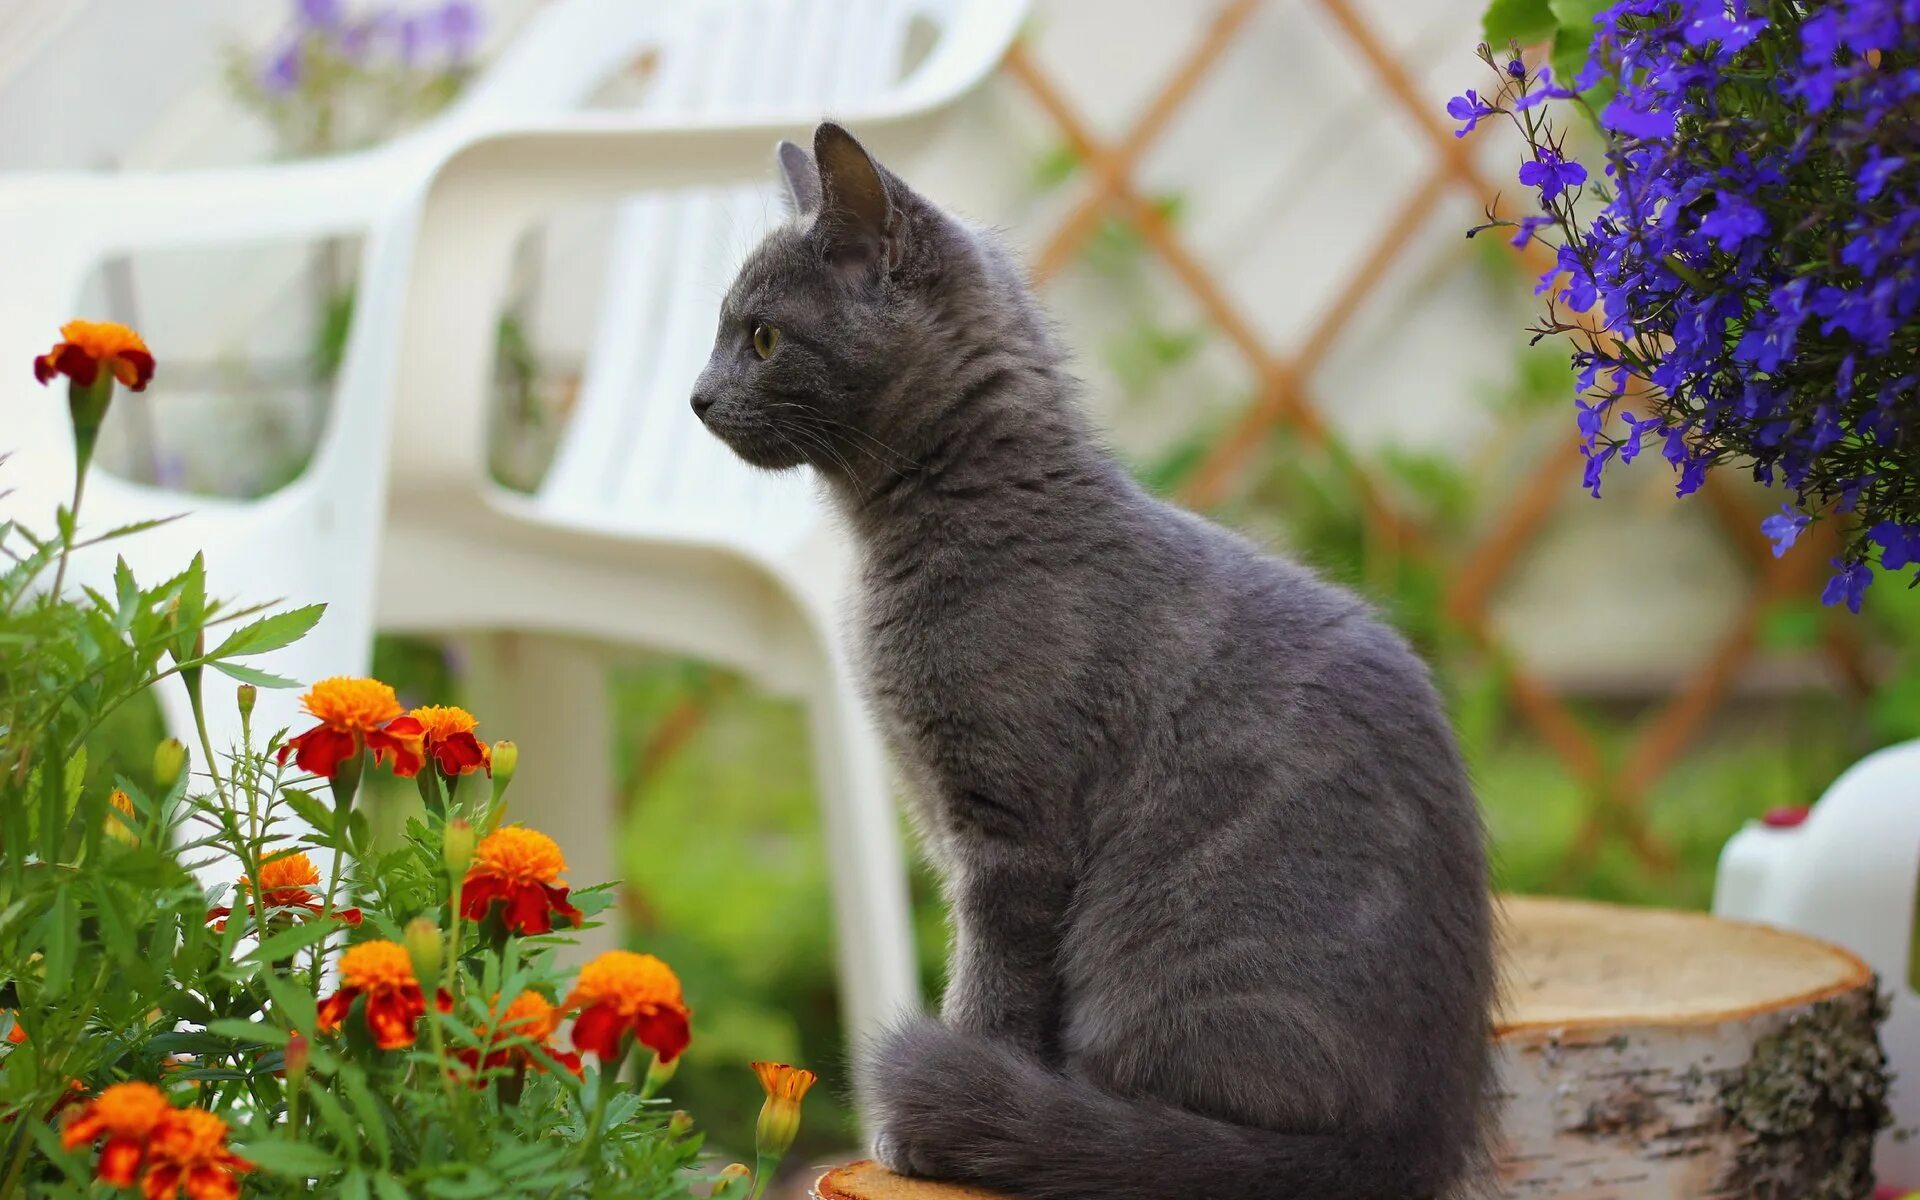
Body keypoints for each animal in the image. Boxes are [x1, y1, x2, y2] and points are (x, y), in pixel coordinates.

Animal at [691, 123, 1497, 1198]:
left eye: (763, 338)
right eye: (721, 332)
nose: (696, 397)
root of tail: (1407, 1143)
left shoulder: (1009, 835)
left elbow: (989, 985)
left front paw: (925, 1130)